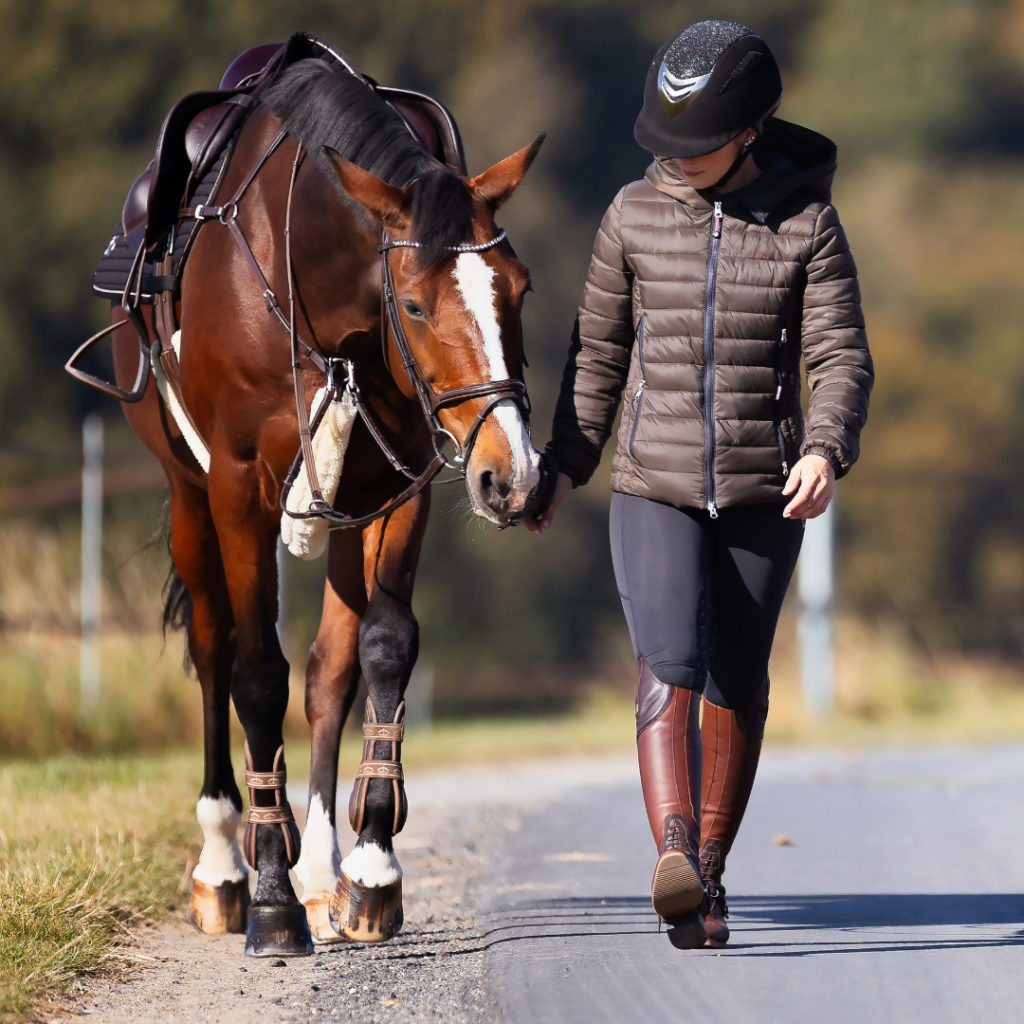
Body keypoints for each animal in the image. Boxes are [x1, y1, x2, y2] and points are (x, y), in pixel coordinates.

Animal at [75, 39, 549, 956]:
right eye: (413, 302)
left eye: (519, 289)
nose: (511, 477)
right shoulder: (236, 488)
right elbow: (256, 670)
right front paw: (268, 893)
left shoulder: (401, 484)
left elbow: (380, 650)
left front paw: (370, 868)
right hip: (188, 493)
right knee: (215, 649)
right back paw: (228, 861)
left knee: (331, 669)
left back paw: (323, 864)